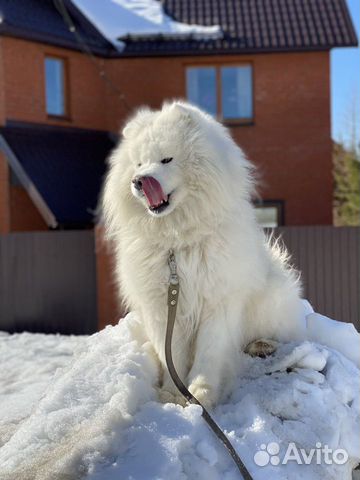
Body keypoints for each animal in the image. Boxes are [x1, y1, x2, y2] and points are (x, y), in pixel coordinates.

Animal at [102, 102, 306, 408]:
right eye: (138, 163)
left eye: (166, 159)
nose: (140, 181)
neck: (177, 241)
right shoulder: (161, 305)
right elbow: (171, 353)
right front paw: (173, 394)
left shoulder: (217, 299)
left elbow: (210, 351)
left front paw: (201, 392)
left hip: (269, 301)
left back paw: (261, 345)